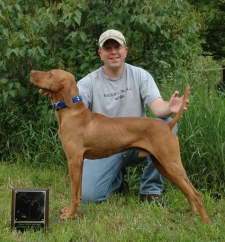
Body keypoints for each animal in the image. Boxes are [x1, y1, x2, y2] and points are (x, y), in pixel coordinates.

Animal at [29, 68, 209, 223]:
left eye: (50, 73)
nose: (31, 72)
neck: (71, 112)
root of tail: (168, 125)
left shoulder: (73, 161)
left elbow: (73, 193)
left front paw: (69, 215)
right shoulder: (79, 162)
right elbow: (78, 192)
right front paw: (69, 211)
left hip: (171, 163)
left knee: (196, 193)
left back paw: (205, 222)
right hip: (163, 165)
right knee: (187, 191)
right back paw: (193, 214)